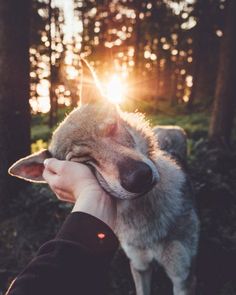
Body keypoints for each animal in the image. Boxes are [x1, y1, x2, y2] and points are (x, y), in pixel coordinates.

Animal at [9, 60, 199, 295]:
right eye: (84, 161)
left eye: (112, 128)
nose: (139, 177)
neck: (142, 216)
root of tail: (168, 127)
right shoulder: (139, 266)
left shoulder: (182, 277)